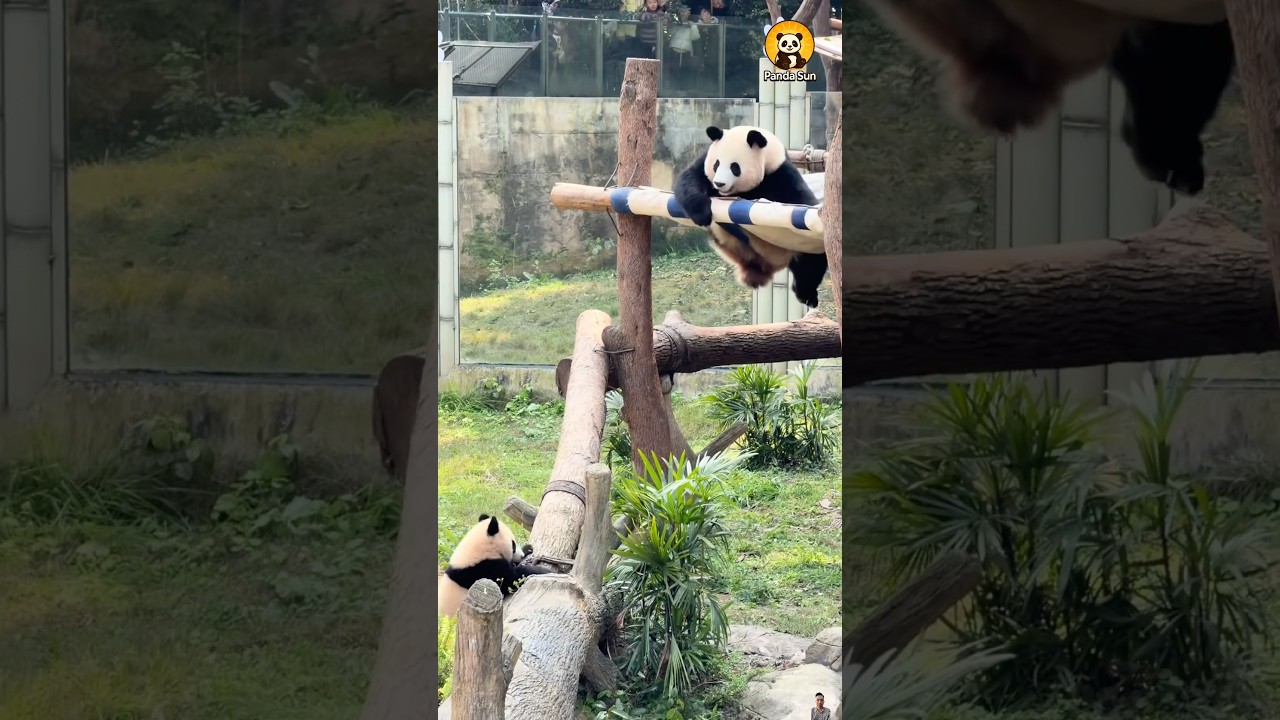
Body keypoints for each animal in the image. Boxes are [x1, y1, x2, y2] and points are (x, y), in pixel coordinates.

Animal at [673, 125, 829, 309]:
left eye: (735, 167)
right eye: (716, 164)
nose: (719, 183)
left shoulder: (779, 174)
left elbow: (801, 200)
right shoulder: (703, 162)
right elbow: (689, 179)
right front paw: (701, 213)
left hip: (797, 246)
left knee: (811, 261)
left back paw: (806, 295)